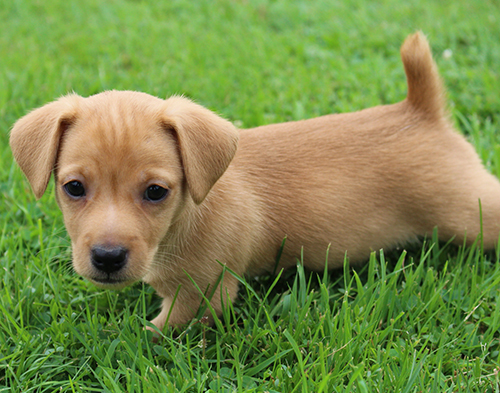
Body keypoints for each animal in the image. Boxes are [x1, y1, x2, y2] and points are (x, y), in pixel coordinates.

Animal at [8, 32, 500, 330]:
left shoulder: (201, 296)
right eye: (73, 188)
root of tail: (421, 110)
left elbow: (155, 334)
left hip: (469, 212)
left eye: (156, 192)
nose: (108, 258)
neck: (184, 219)